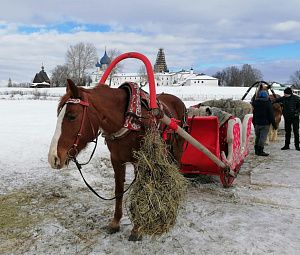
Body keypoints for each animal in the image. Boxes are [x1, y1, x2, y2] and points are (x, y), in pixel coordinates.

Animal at [47, 79, 186, 241]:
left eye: (72, 116)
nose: (53, 157)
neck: (128, 120)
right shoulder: (116, 160)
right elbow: (118, 191)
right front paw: (115, 222)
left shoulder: (141, 163)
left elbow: (139, 192)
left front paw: (137, 228)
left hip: (178, 147)